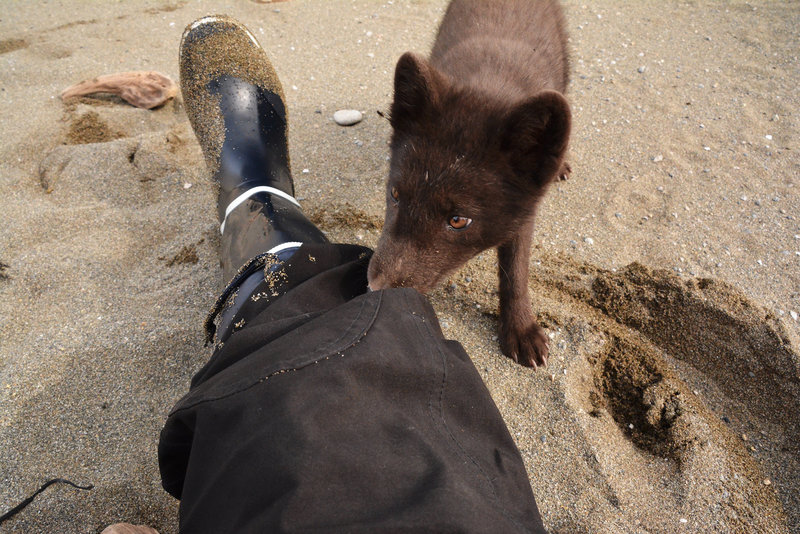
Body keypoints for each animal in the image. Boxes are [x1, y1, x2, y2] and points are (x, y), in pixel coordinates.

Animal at [368, 0, 568, 368]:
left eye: (458, 220)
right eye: (395, 194)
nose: (375, 291)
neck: (491, 83)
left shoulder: (525, 211)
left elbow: (515, 271)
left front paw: (521, 329)